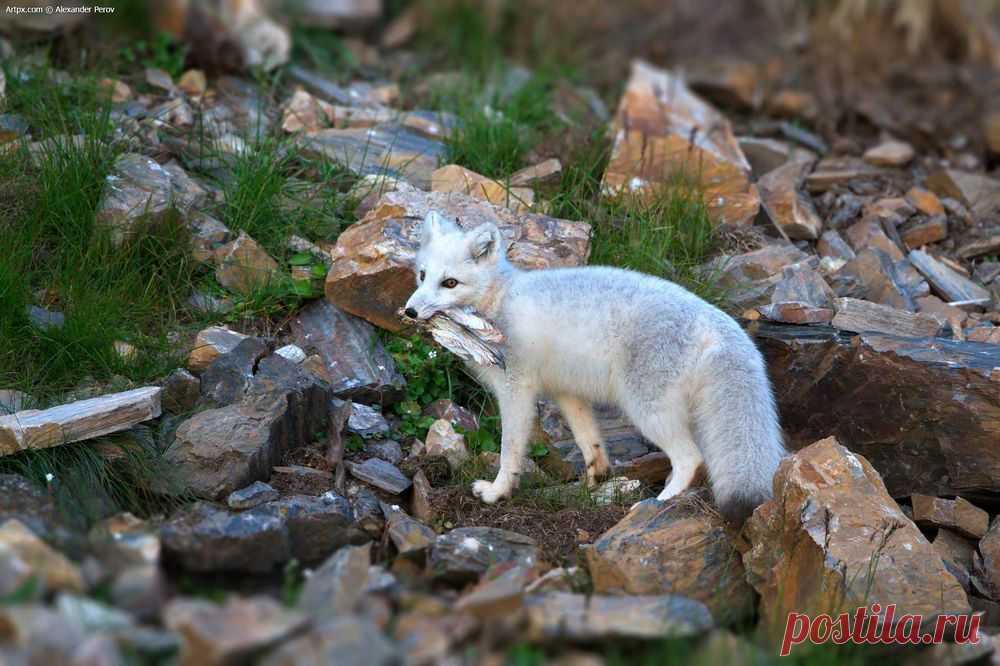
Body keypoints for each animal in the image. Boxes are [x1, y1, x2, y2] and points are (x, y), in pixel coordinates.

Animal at [402, 211, 784, 520]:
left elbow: (510, 449)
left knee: (691, 458)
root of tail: (718, 324)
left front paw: (497, 492)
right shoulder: (567, 393)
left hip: (646, 410)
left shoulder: (516, 390)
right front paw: (595, 482)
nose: (409, 311)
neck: (499, 299)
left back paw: (656, 503)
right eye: (421, 275)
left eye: (450, 283)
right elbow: (590, 443)